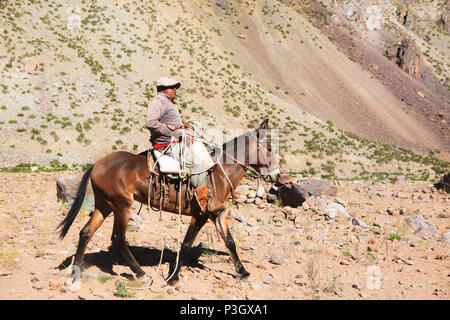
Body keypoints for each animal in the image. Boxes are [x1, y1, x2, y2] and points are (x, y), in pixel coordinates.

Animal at [57, 119, 278, 284]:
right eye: (268, 147)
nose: (276, 174)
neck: (218, 174)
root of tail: (97, 164)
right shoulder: (200, 215)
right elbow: (186, 244)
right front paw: (173, 277)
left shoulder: (217, 213)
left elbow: (230, 241)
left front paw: (243, 271)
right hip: (121, 206)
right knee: (118, 238)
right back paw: (141, 274)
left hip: (104, 205)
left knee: (86, 232)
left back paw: (76, 273)